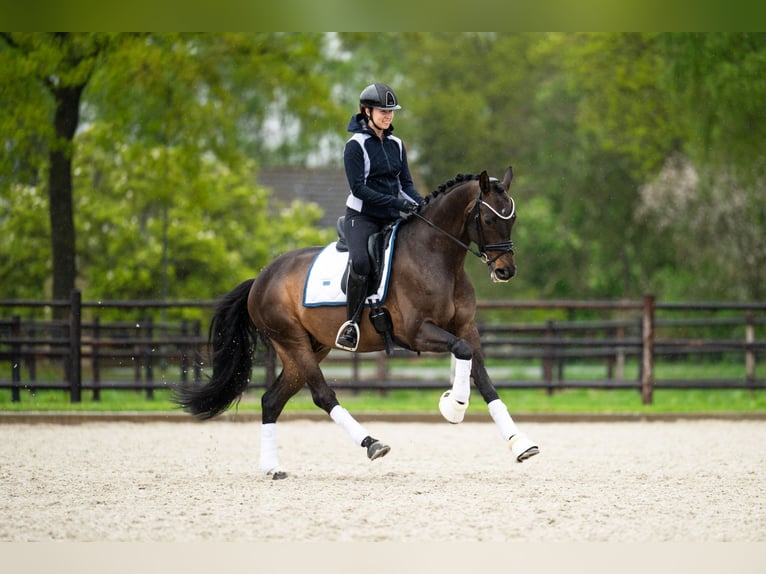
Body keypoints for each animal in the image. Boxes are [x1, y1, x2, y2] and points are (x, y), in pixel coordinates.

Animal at [173, 166, 539, 479]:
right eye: (489, 218)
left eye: (513, 218)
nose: (506, 271)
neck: (437, 257)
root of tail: (261, 278)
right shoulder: (418, 333)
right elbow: (462, 353)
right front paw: (454, 405)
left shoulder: (465, 328)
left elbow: (485, 380)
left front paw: (519, 443)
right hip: (291, 340)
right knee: (322, 395)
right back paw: (372, 443)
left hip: (309, 347)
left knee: (271, 400)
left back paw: (272, 468)